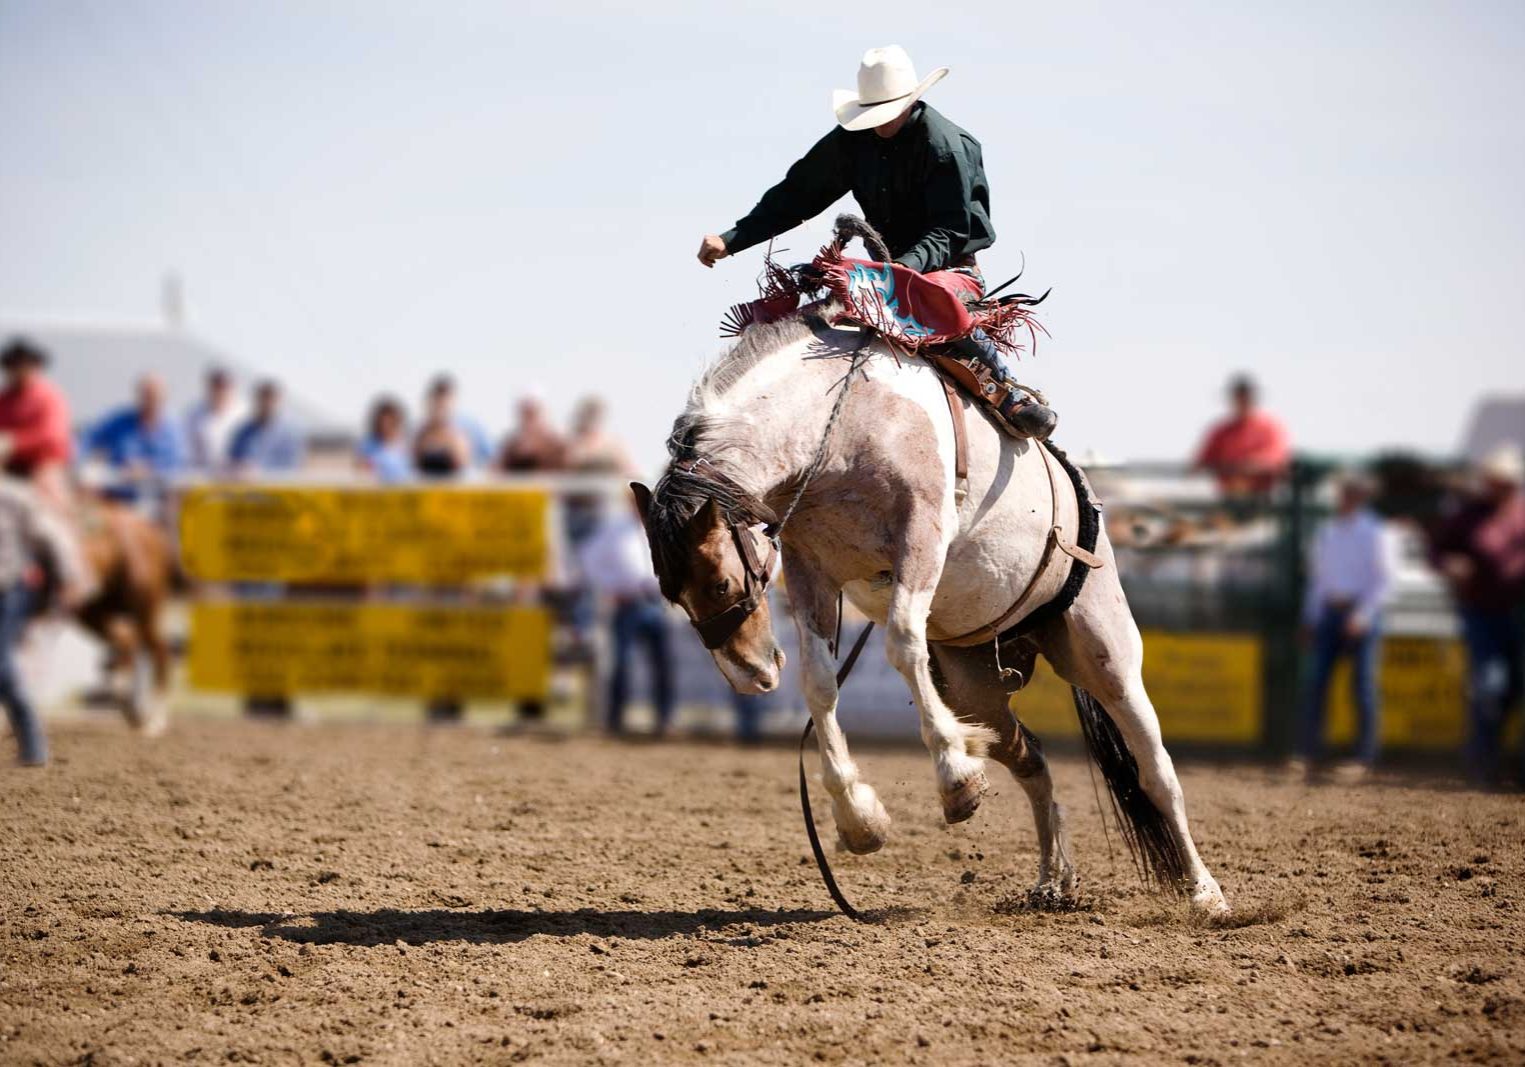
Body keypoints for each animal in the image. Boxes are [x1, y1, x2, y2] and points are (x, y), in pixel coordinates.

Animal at [631, 228, 1226, 914]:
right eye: (672, 595)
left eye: (723, 583)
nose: (750, 675)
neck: (840, 422)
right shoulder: (810, 569)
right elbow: (819, 682)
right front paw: (859, 818)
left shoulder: (921, 535)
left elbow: (902, 644)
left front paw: (956, 778)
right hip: (976, 679)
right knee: (1031, 757)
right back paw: (1053, 879)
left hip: (1104, 650)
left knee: (1156, 771)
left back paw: (1205, 893)